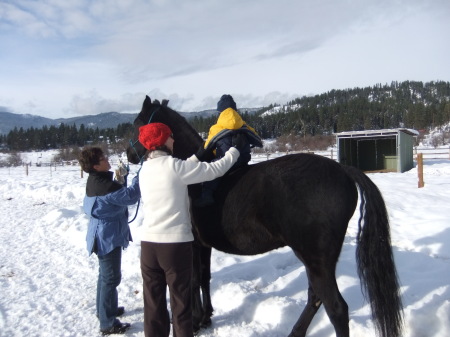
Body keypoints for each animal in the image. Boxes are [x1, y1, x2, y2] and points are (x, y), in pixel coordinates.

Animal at [127, 95, 404, 336]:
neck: (194, 175)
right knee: (316, 297)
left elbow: (193, 281)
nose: (129, 155)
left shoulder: (194, 244)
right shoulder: (204, 245)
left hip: (315, 259)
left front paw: (195, 321)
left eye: (138, 124)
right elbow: (204, 278)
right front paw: (206, 317)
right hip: (319, 260)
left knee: (336, 308)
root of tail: (344, 170)